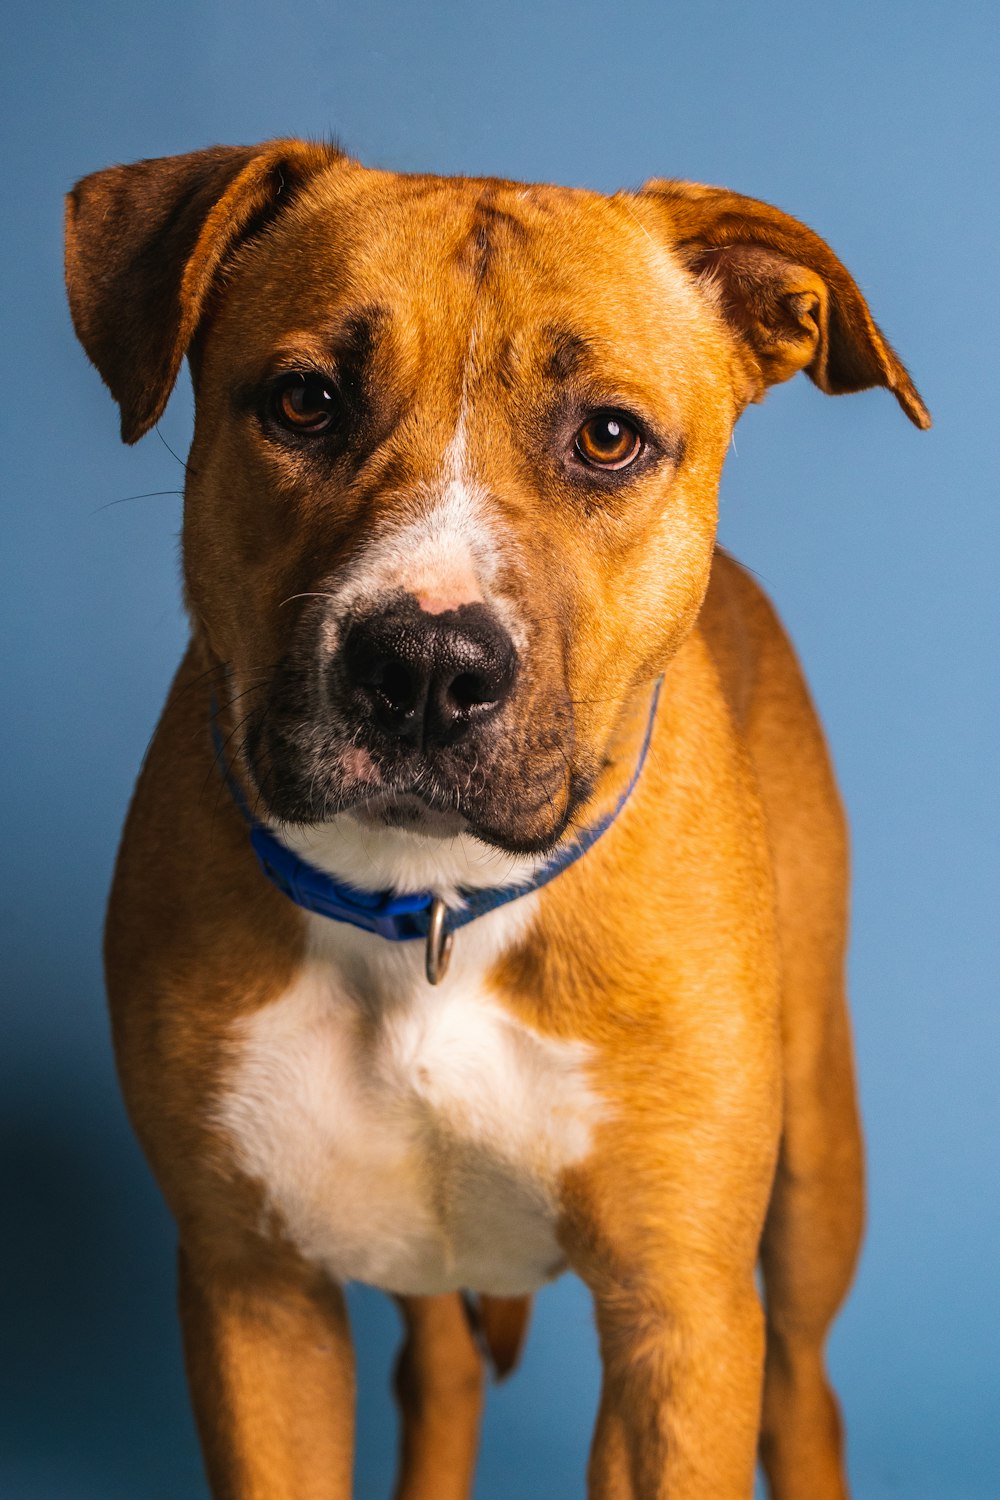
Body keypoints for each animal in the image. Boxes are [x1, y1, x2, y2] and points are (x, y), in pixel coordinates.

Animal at [66, 143, 929, 1500]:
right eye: (303, 402)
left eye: (609, 438)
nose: (425, 664)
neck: (430, 902)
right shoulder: (253, 1294)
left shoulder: (680, 1322)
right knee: (444, 1370)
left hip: (810, 1177)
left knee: (801, 1389)